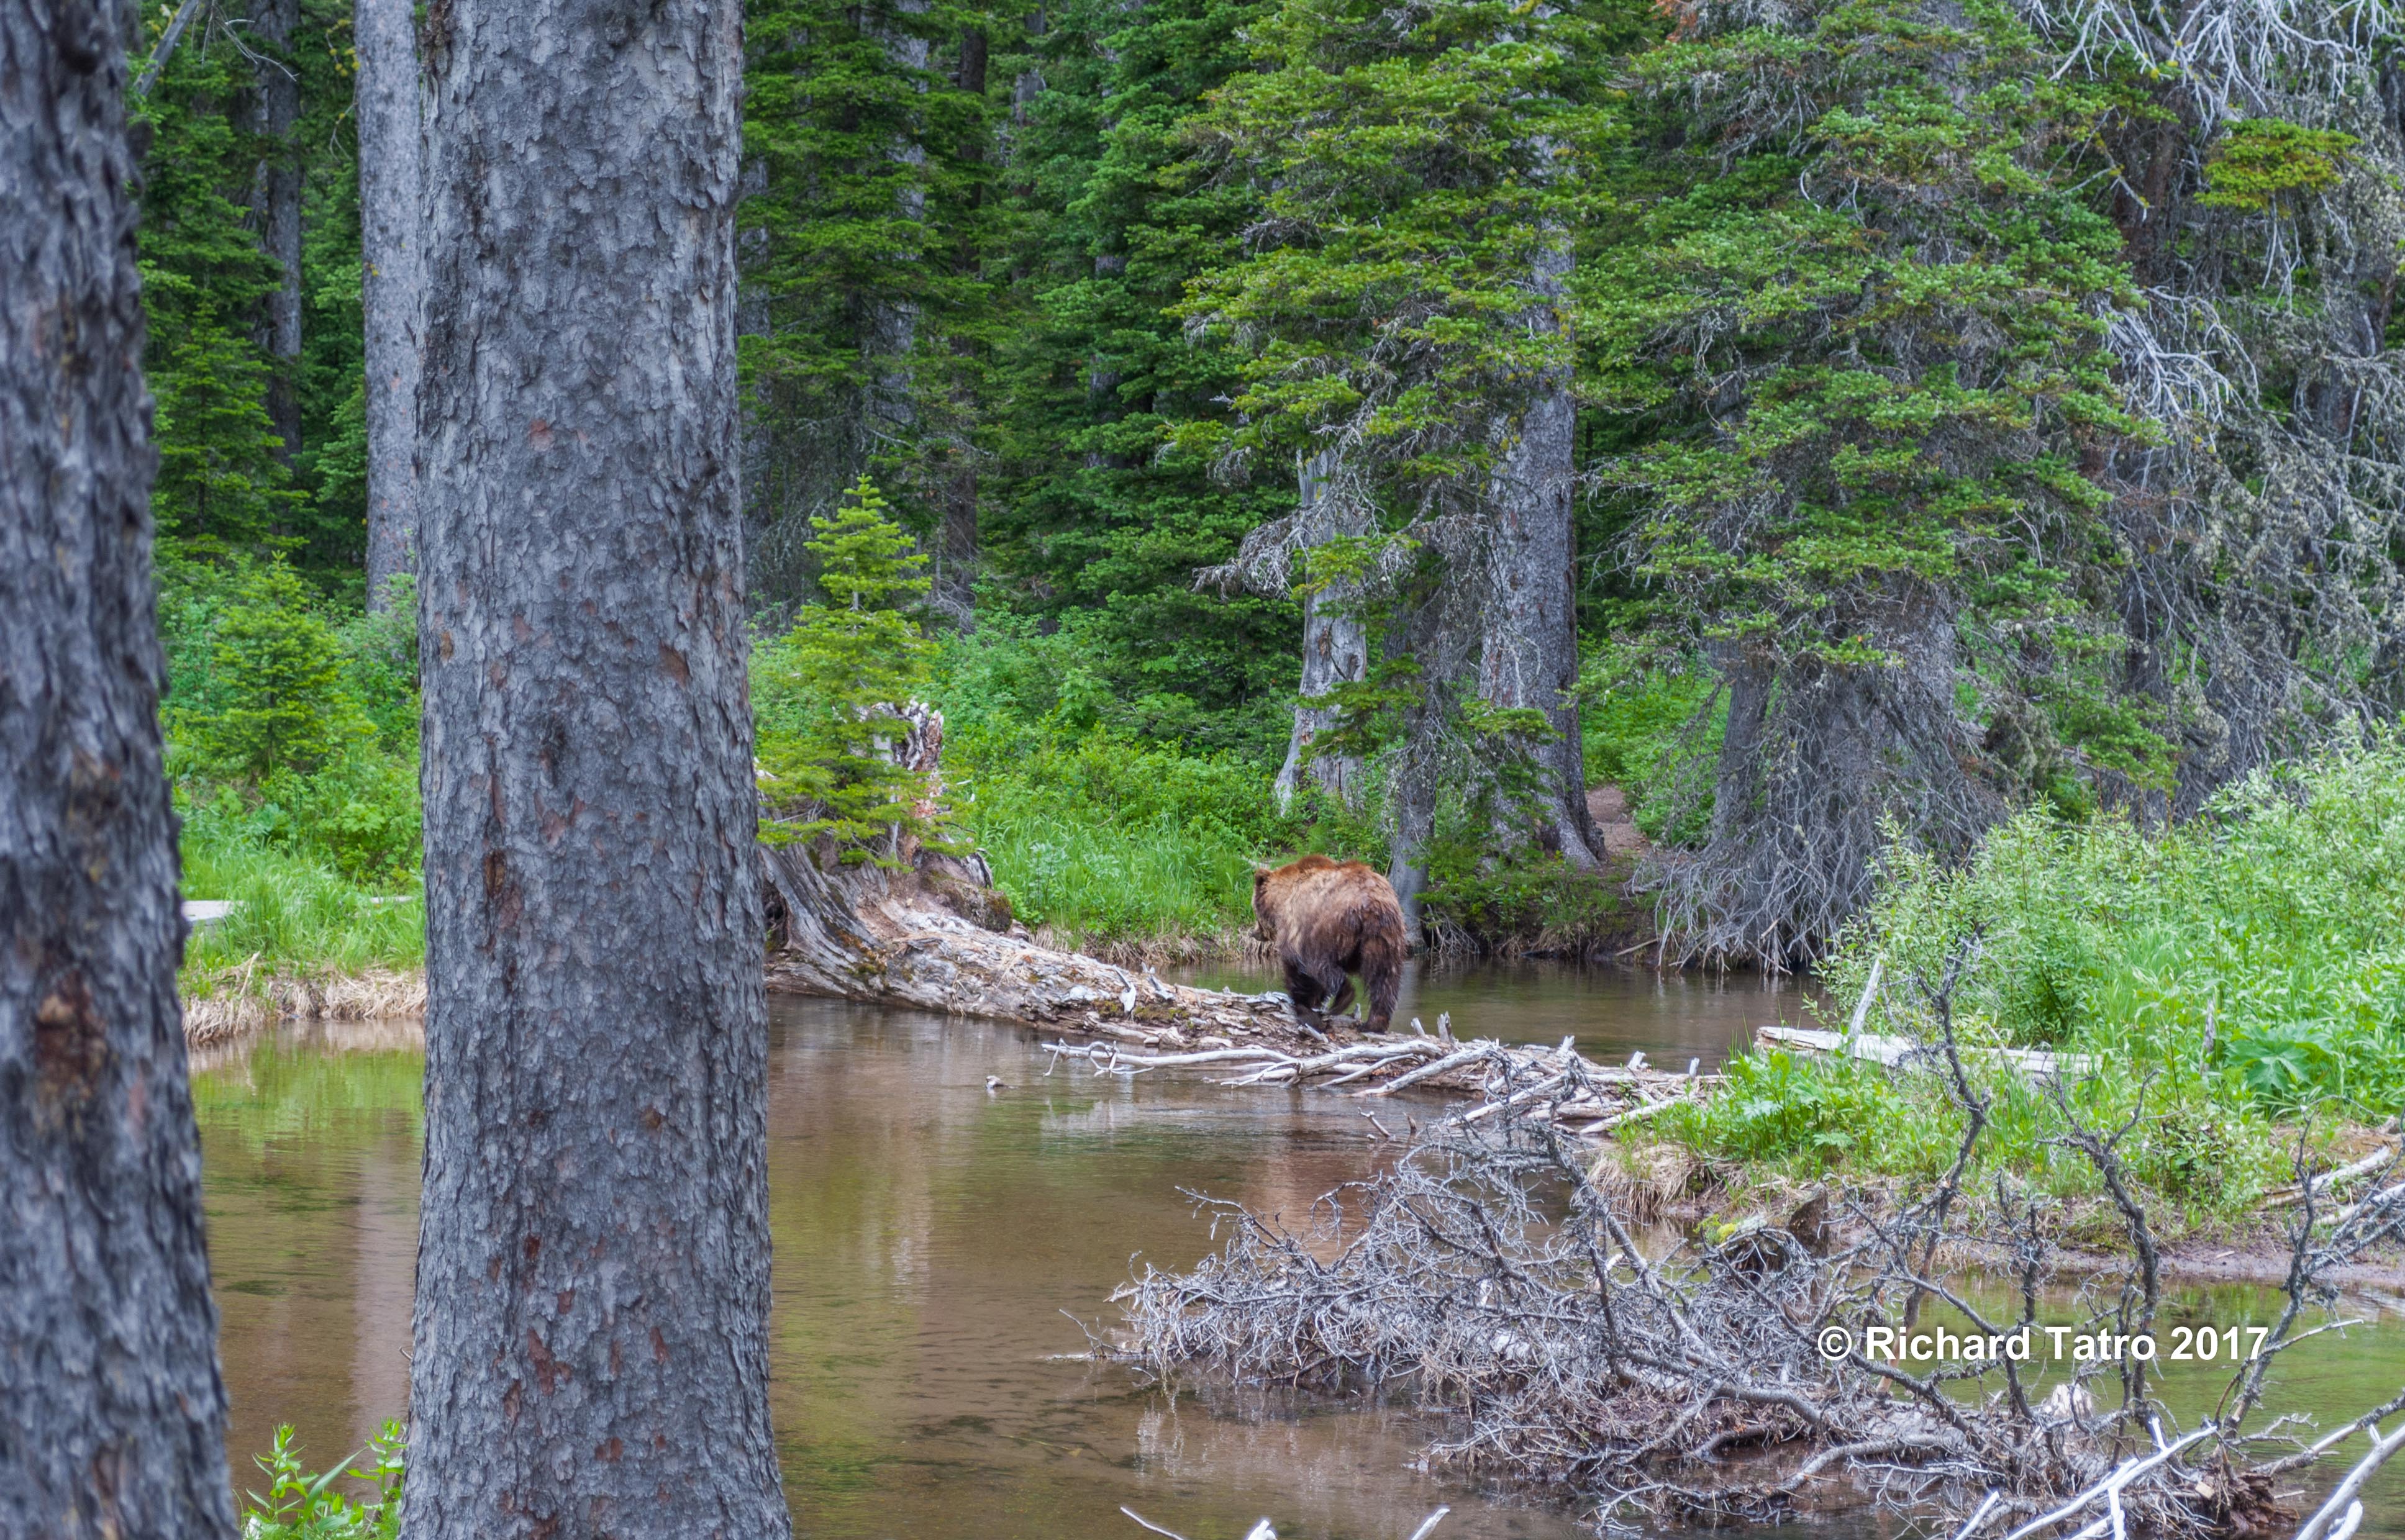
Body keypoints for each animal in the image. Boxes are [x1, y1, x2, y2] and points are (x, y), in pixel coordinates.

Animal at [1251, 854, 1406, 1035]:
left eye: (1254, 909)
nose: (1254, 932)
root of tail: (1371, 903)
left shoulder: (1296, 927)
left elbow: (1296, 966)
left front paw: (1305, 1007)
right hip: (1384, 937)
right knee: (1384, 978)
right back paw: (1374, 1024)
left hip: (1330, 927)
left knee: (1321, 965)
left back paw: (1343, 998)